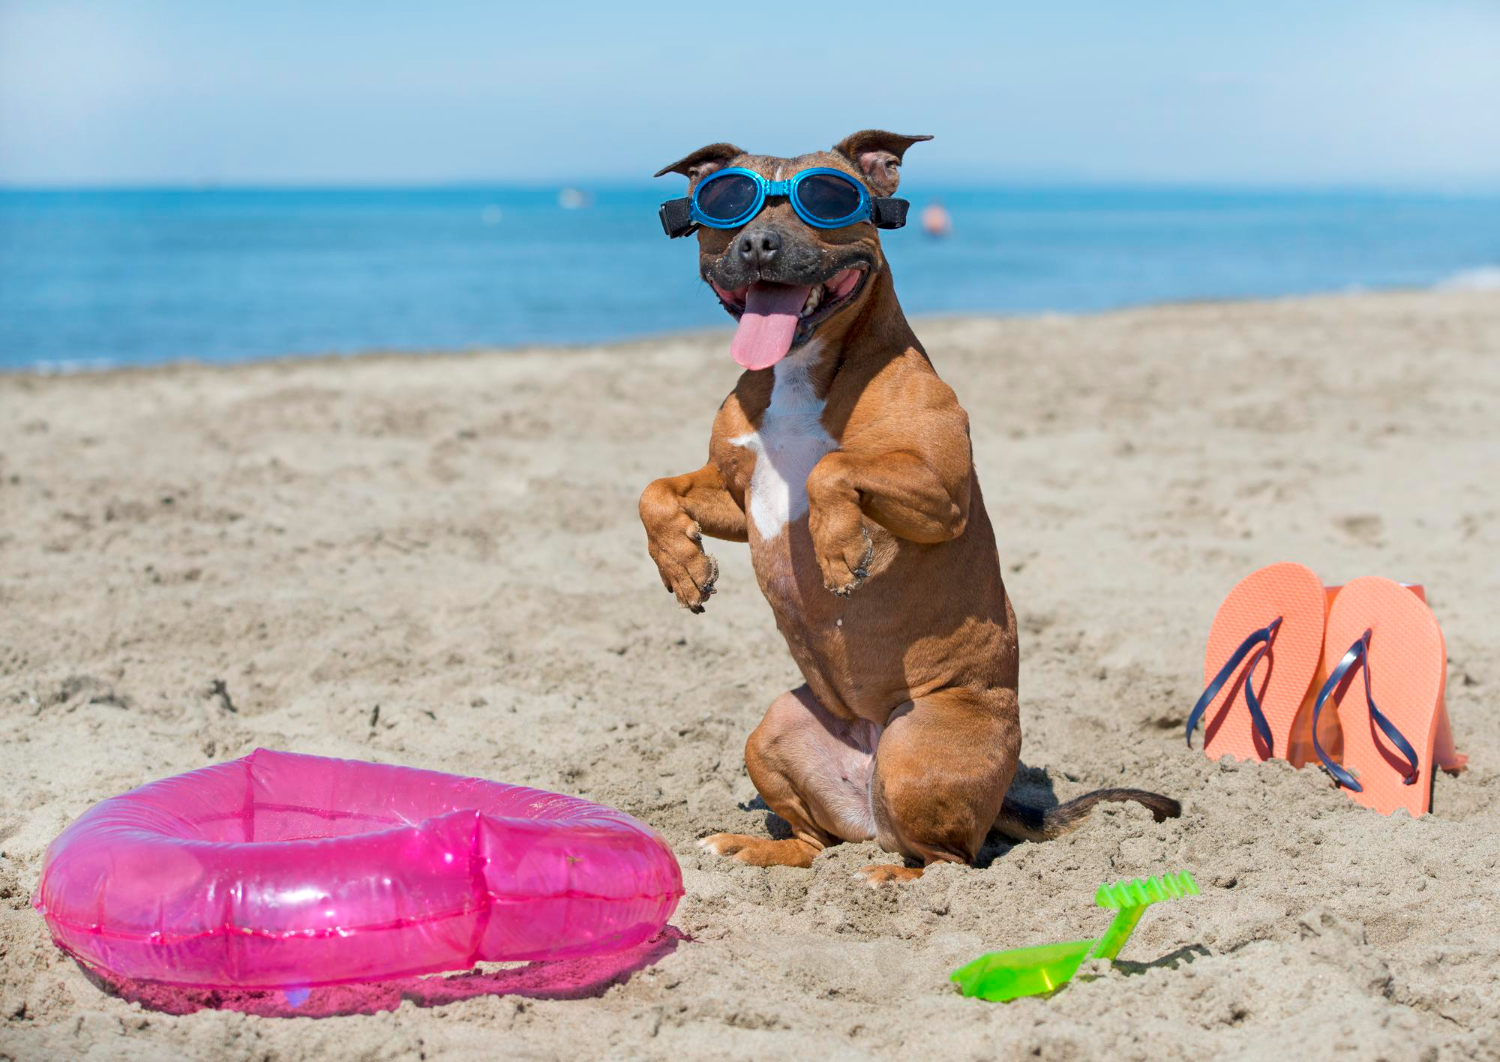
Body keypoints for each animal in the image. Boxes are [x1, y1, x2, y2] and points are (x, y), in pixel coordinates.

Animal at [639, 130, 1176, 888]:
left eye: (826, 196)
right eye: (727, 201)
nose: (758, 244)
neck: (801, 370)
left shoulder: (940, 494)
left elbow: (833, 468)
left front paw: (838, 548)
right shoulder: (736, 492)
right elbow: (655, 490)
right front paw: (682, 567)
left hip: (917, 748)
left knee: (951, 859)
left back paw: (894, 877)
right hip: (776, 731)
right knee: (817, 843)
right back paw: (756, 848)